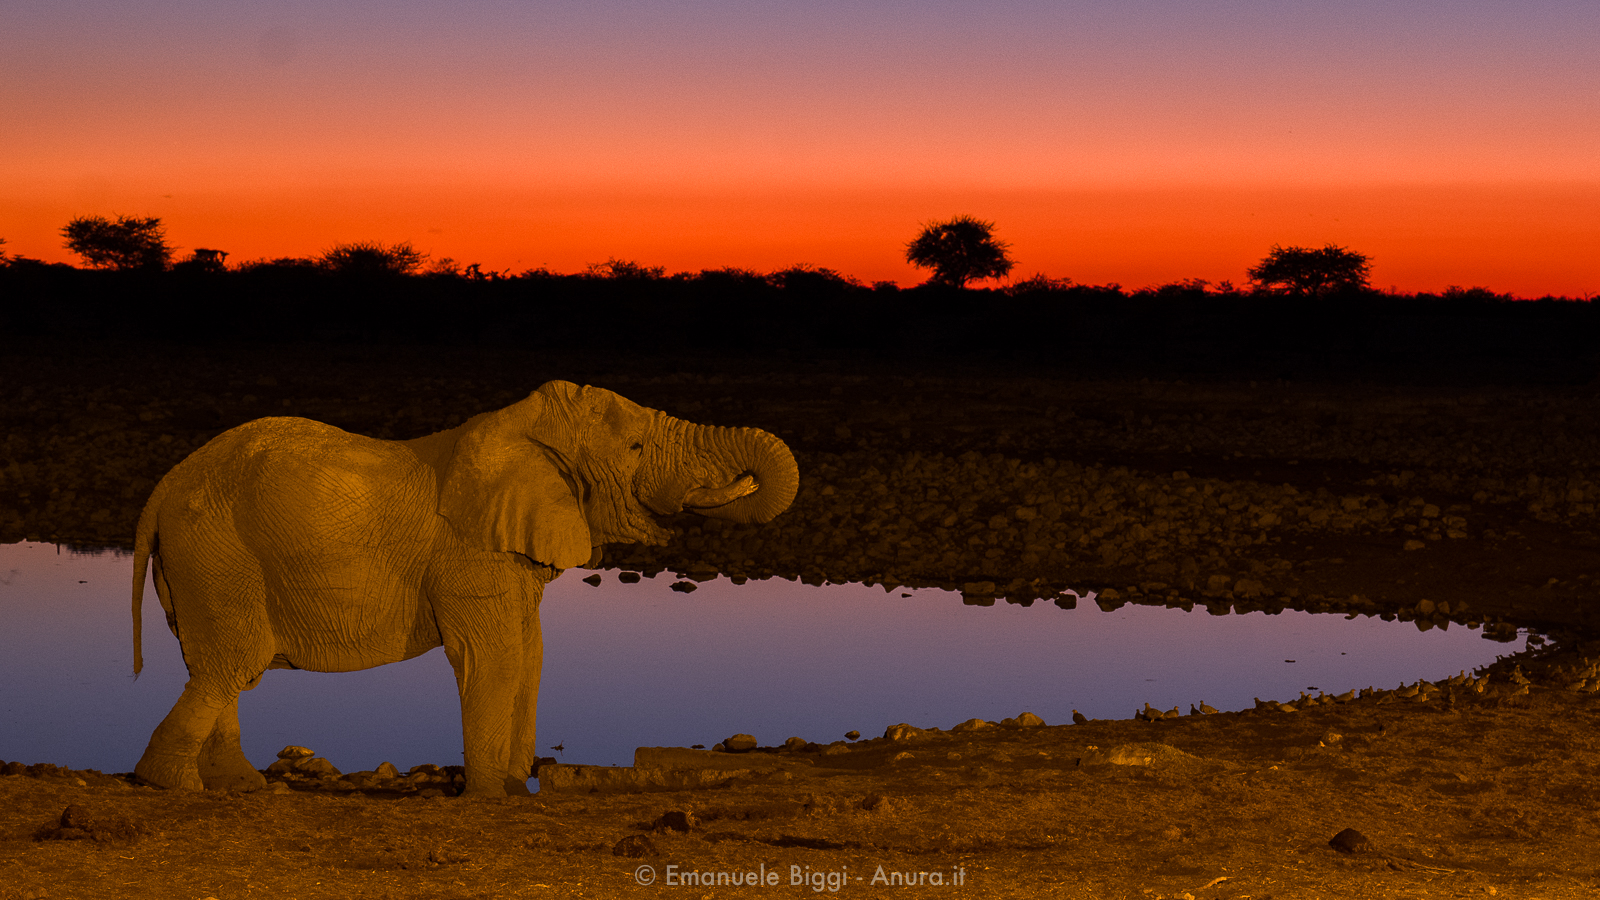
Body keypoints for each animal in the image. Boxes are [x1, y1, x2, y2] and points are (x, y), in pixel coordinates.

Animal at [131, 377, 800, 791]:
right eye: (635, 447)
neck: (521, 426)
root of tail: (165, 485)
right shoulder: (469, 553)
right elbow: (494, 656)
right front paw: (490, 795)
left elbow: (531, 656)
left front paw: (514, 785)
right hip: (217, 549)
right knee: (233, 661)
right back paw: (175, 784)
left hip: (201, 556)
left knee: (215, 664)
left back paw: (235, 785)